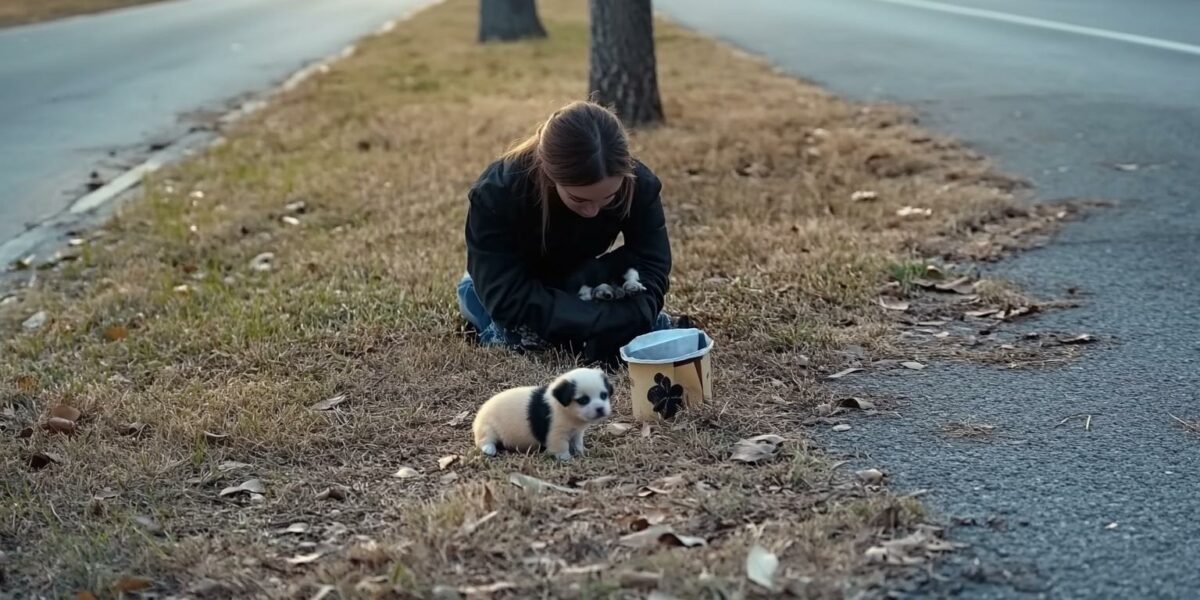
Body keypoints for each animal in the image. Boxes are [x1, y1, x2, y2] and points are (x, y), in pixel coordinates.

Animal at [472, 367, 614, 460]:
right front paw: (566, 458)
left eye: (603, 395)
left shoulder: (577, 432)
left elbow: (578, 443)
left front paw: (581, 452)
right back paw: (489, 449)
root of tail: (479, 414)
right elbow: (561, 446)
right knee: (485, 439)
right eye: (583, 400)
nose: (600, 409)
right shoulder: (556, 433)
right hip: (487, 427)